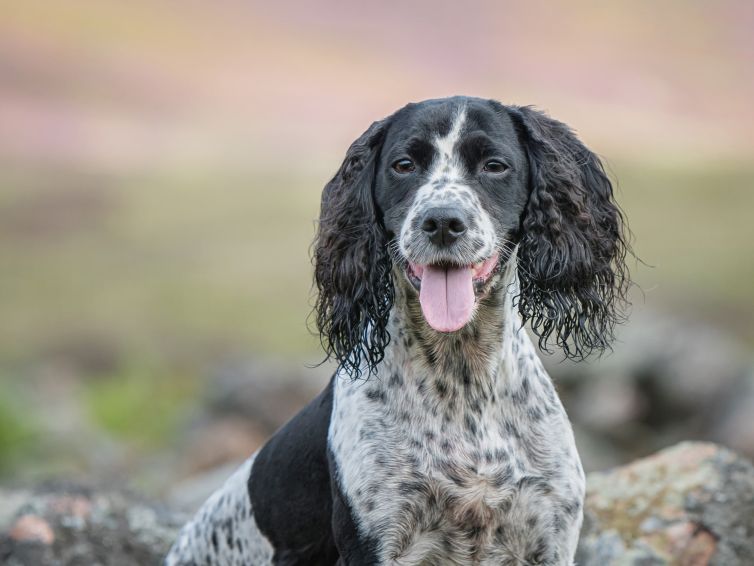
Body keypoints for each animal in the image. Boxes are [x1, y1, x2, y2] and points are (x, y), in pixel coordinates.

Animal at [166, 95, 628, 564]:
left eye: (495, 165)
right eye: (404, 165)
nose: (442, 222)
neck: (463, 383)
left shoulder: (550, 537)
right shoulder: (376, 542)